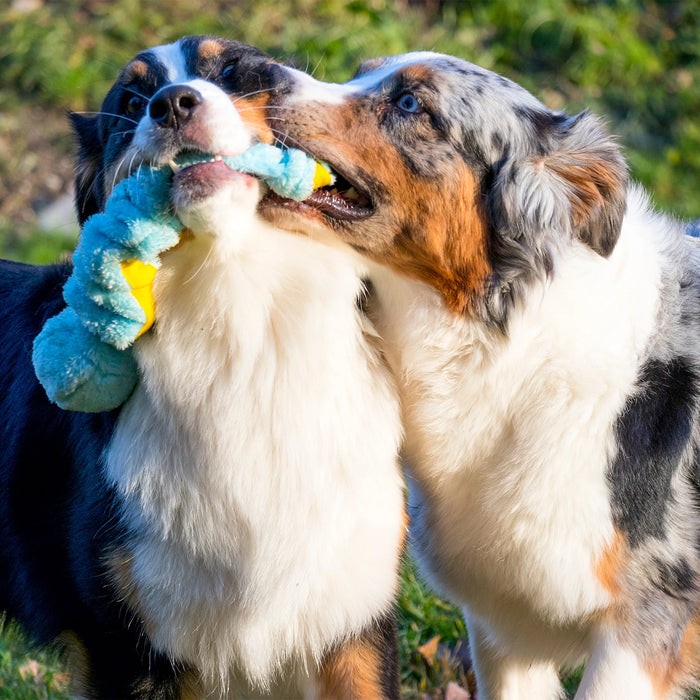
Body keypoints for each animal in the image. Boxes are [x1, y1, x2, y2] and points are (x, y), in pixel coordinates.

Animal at [262, 52, 700, 696]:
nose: (266, 73)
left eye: (411, 104)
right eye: (362, 69)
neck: (508, 343)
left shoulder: (645, 624)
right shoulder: (504, 622)